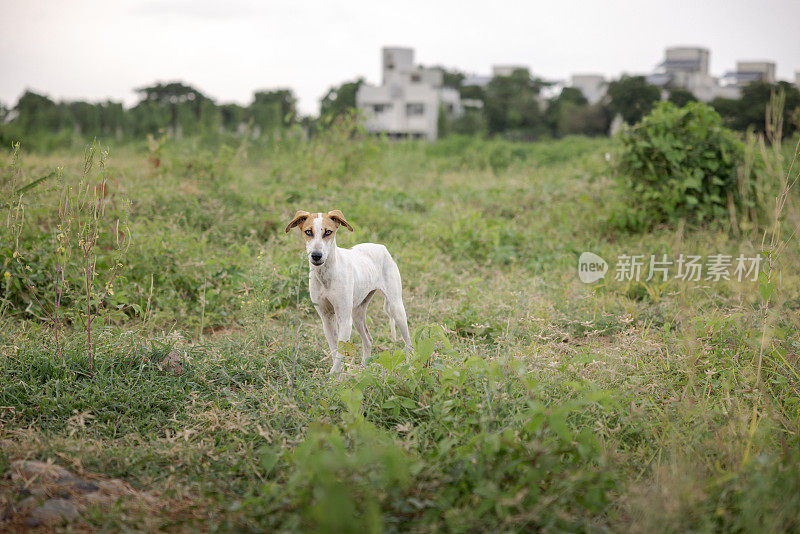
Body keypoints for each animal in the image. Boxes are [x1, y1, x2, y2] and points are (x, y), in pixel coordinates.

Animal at [286, 211, 412, 374]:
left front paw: (333, 378)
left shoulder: (344, 320)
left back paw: (410, 367)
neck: (326, 274)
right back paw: (363, 371)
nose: (316, 255)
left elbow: (339, 354)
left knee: (408, 344)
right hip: (357, 315)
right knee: (368, 340)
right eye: (308, 232)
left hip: (397, 309)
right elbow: (335, 351)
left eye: (328, 232)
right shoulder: (327, 318)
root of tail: (381, 247)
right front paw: (337, 376)